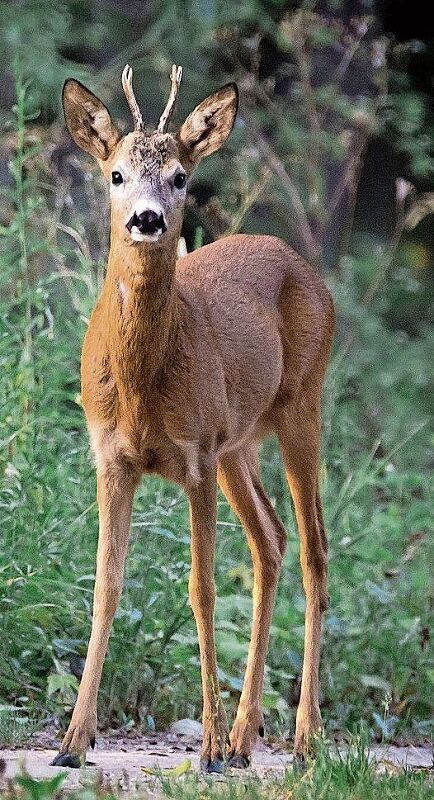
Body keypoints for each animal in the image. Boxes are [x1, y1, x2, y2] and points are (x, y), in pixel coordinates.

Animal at [51, 64, 336, 776]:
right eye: (116, 174)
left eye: (180, 176)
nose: (149, 219)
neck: (142, 386)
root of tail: (302, 263)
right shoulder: (112, 457)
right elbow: (105, 585)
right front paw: (73, 740)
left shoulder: (196, 454)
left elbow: (202, 590)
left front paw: (203, 747)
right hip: (240, 444)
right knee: (272, 540)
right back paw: (243, 738)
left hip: (301, 405)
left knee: (314, 550)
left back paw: (301, 738)